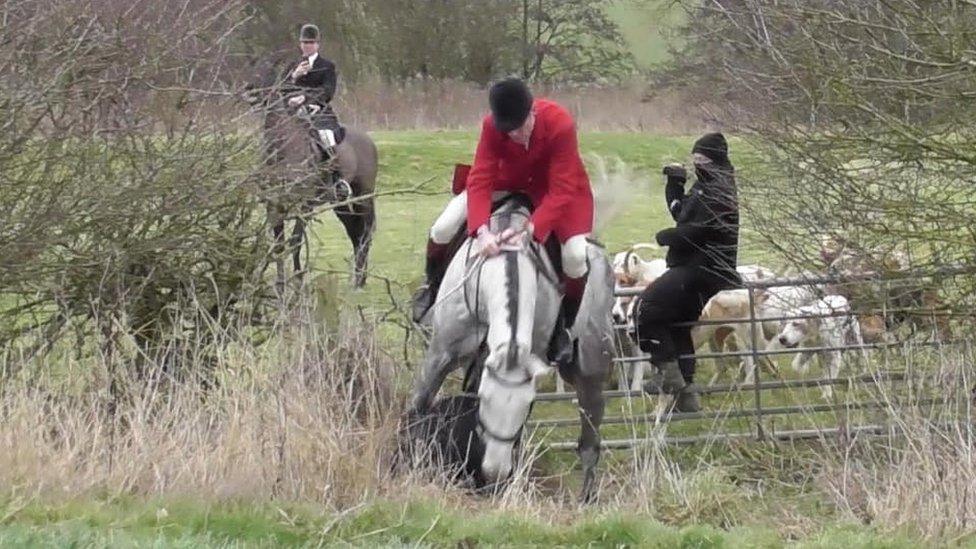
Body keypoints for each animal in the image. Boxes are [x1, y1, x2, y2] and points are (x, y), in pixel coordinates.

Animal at [408, 197, 612, 500]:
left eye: (527, 407)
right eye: (483, 400)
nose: (495, 471)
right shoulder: (440, 354)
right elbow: (419, 405)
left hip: (591, 373)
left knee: (589, 439)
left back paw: (586, 497)